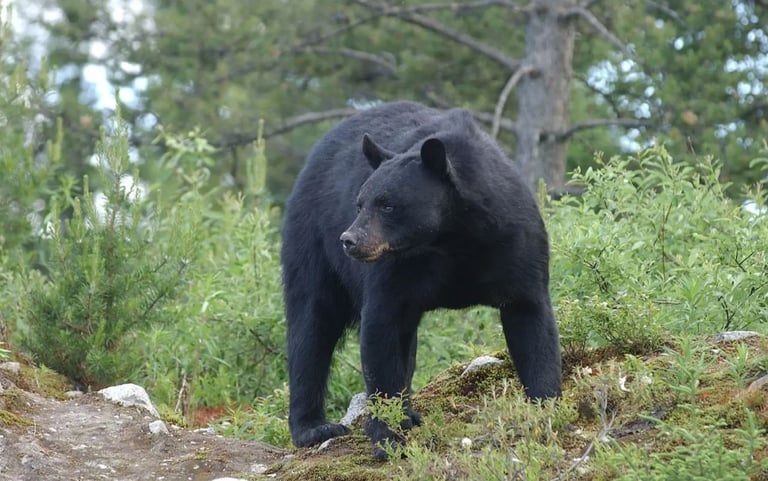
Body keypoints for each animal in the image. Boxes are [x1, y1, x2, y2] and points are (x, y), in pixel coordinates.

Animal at [281, 101, 561, 459]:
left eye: (387, 204)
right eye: (359, 203)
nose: (349, 240)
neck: (450, 238)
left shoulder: (515, 243)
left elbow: (530, 317)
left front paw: (546, 406)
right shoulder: (396, 269)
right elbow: (380, 330)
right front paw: (388, 435)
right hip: (311, 239)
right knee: (311, 324)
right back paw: (314, 427)